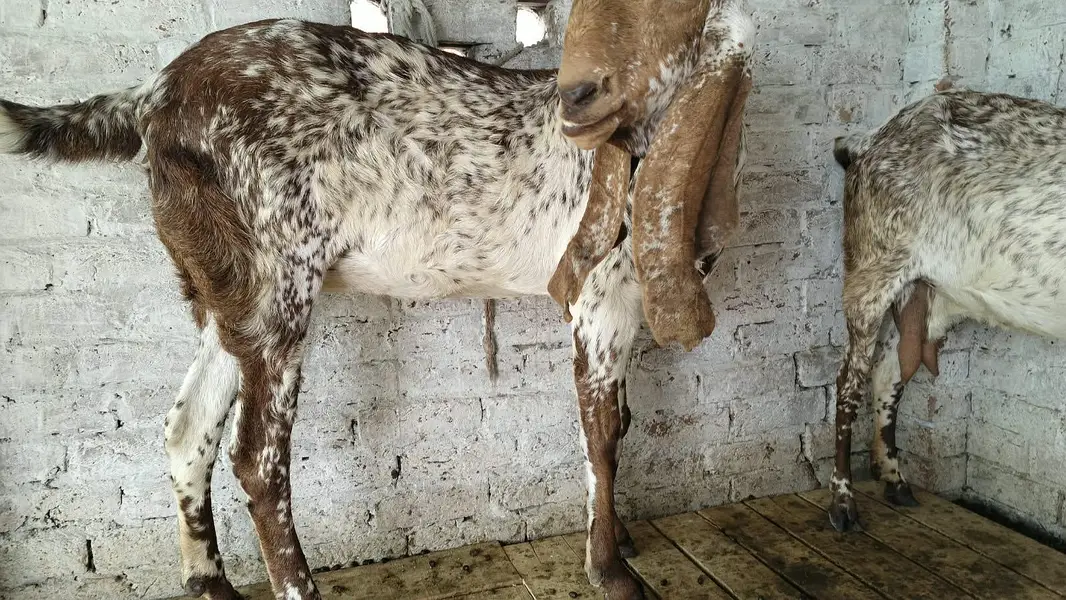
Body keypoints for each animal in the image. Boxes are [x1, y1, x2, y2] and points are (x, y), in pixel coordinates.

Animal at [0, 1, 754, 598]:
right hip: (281, 276)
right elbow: (601, 433)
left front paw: (619, 540)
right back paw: (296, 587)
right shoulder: (601, 296)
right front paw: (611, 570)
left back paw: (209, 582)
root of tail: (153, 95)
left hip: (226, 287)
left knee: (188, 428)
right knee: (258, 458)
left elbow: (619, 420)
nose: (587, 96)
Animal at [828, 88, 1066, 532]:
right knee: (849, 380)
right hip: (871, 270)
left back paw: (895, 480)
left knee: (889, 372)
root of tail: (866, 141)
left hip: (937, 296)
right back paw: (842, 503)